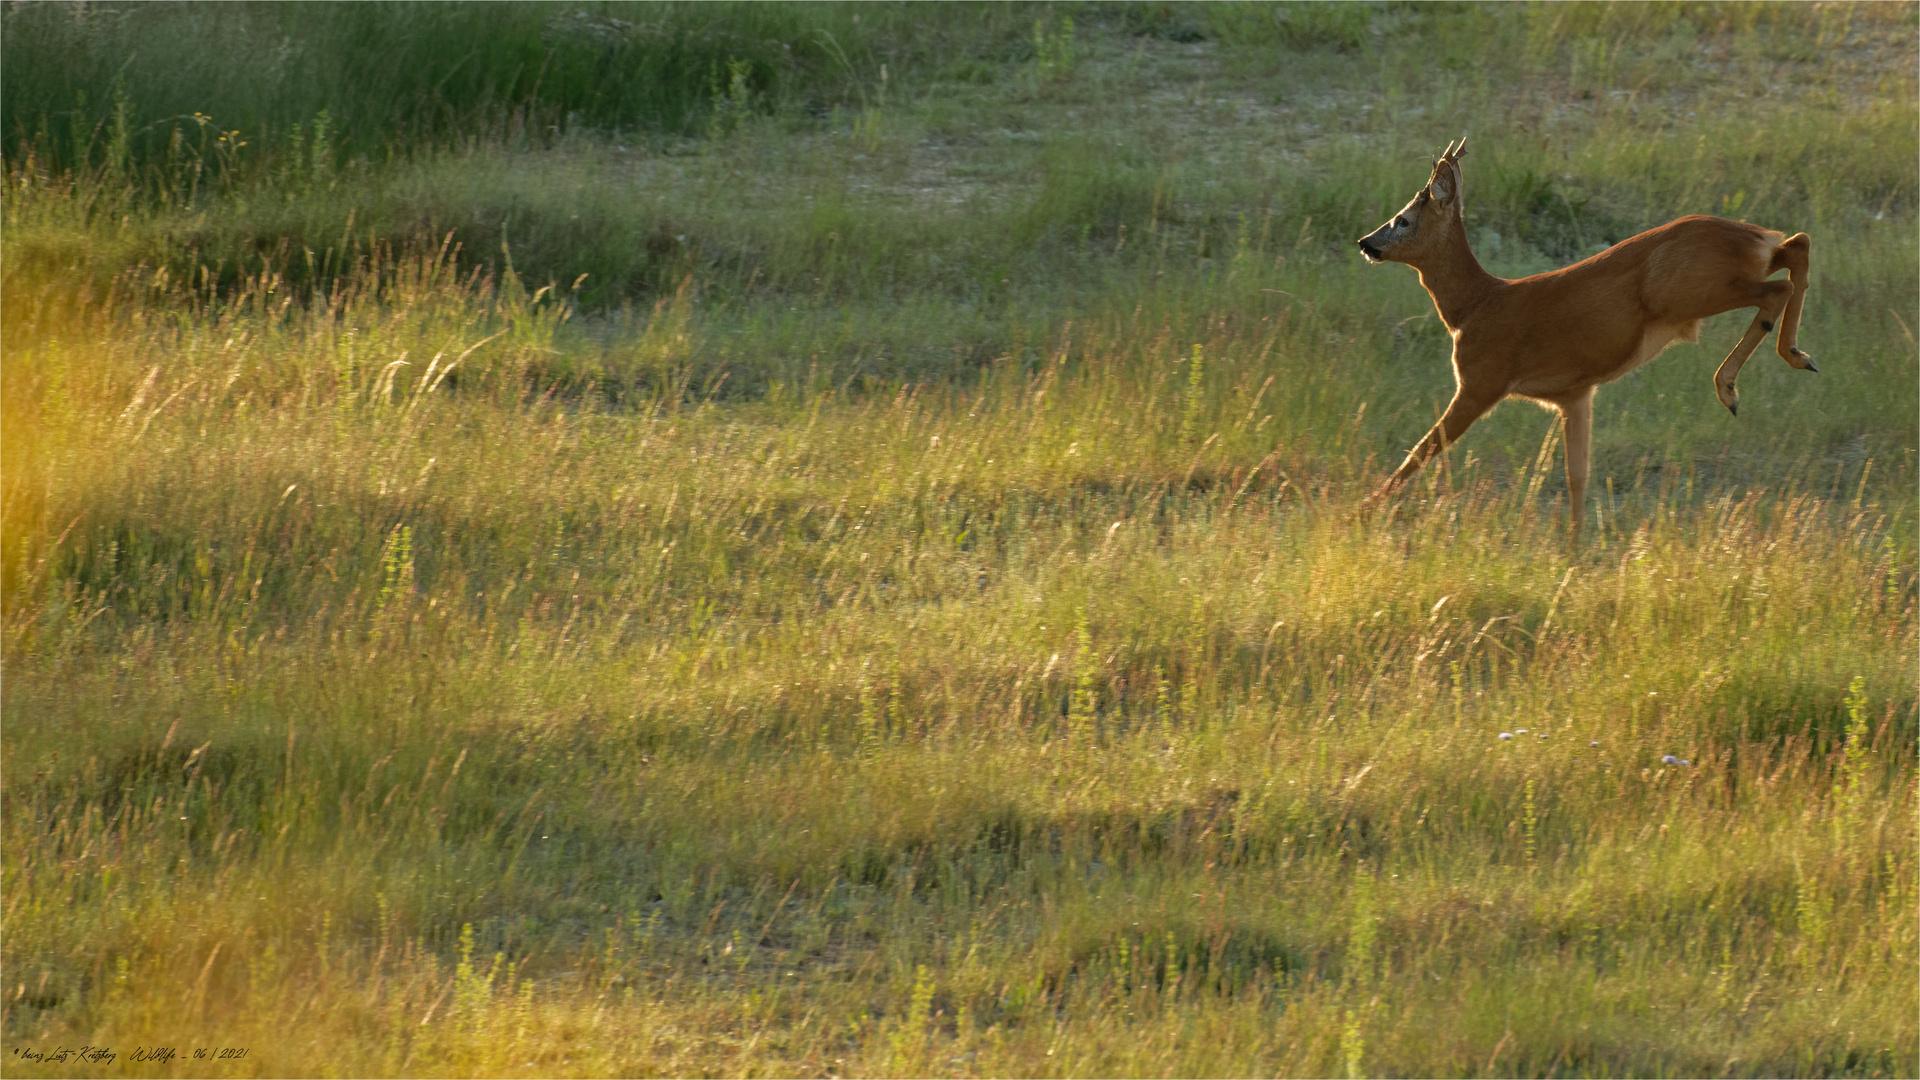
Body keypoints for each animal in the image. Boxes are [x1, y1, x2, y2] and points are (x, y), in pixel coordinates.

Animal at [1351, 138, 1812, 534]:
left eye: (1403, 220)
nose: (1365, 242)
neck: (1472, 307)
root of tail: (1751, 235)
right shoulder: (1575, 394)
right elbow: (1577, 475)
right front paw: (1574, 547)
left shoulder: (1482, 381)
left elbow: (1424, 448)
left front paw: (1361, 511)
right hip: (1715, 280)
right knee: (1796, 245)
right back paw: (1794, 356)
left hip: (1689, 291)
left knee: (1779, 286)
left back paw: (1735, 384)